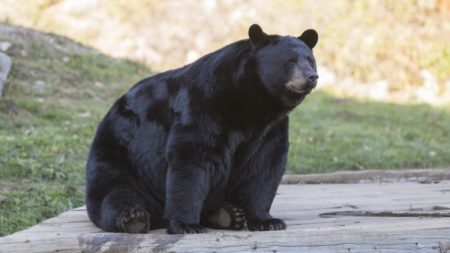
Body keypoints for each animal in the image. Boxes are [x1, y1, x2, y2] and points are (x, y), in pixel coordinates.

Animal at [86, 24, 318, 234]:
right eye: (290, 61)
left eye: (310, 60)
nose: (312, 77)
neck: (250, 103)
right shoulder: (203, 105)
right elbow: (192, 159)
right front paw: (186, 225)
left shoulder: (270, 128)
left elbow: (264, 166)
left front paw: (267, 221)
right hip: (122, 155)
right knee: (115, 191)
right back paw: (134, 218)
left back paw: (228, 214)